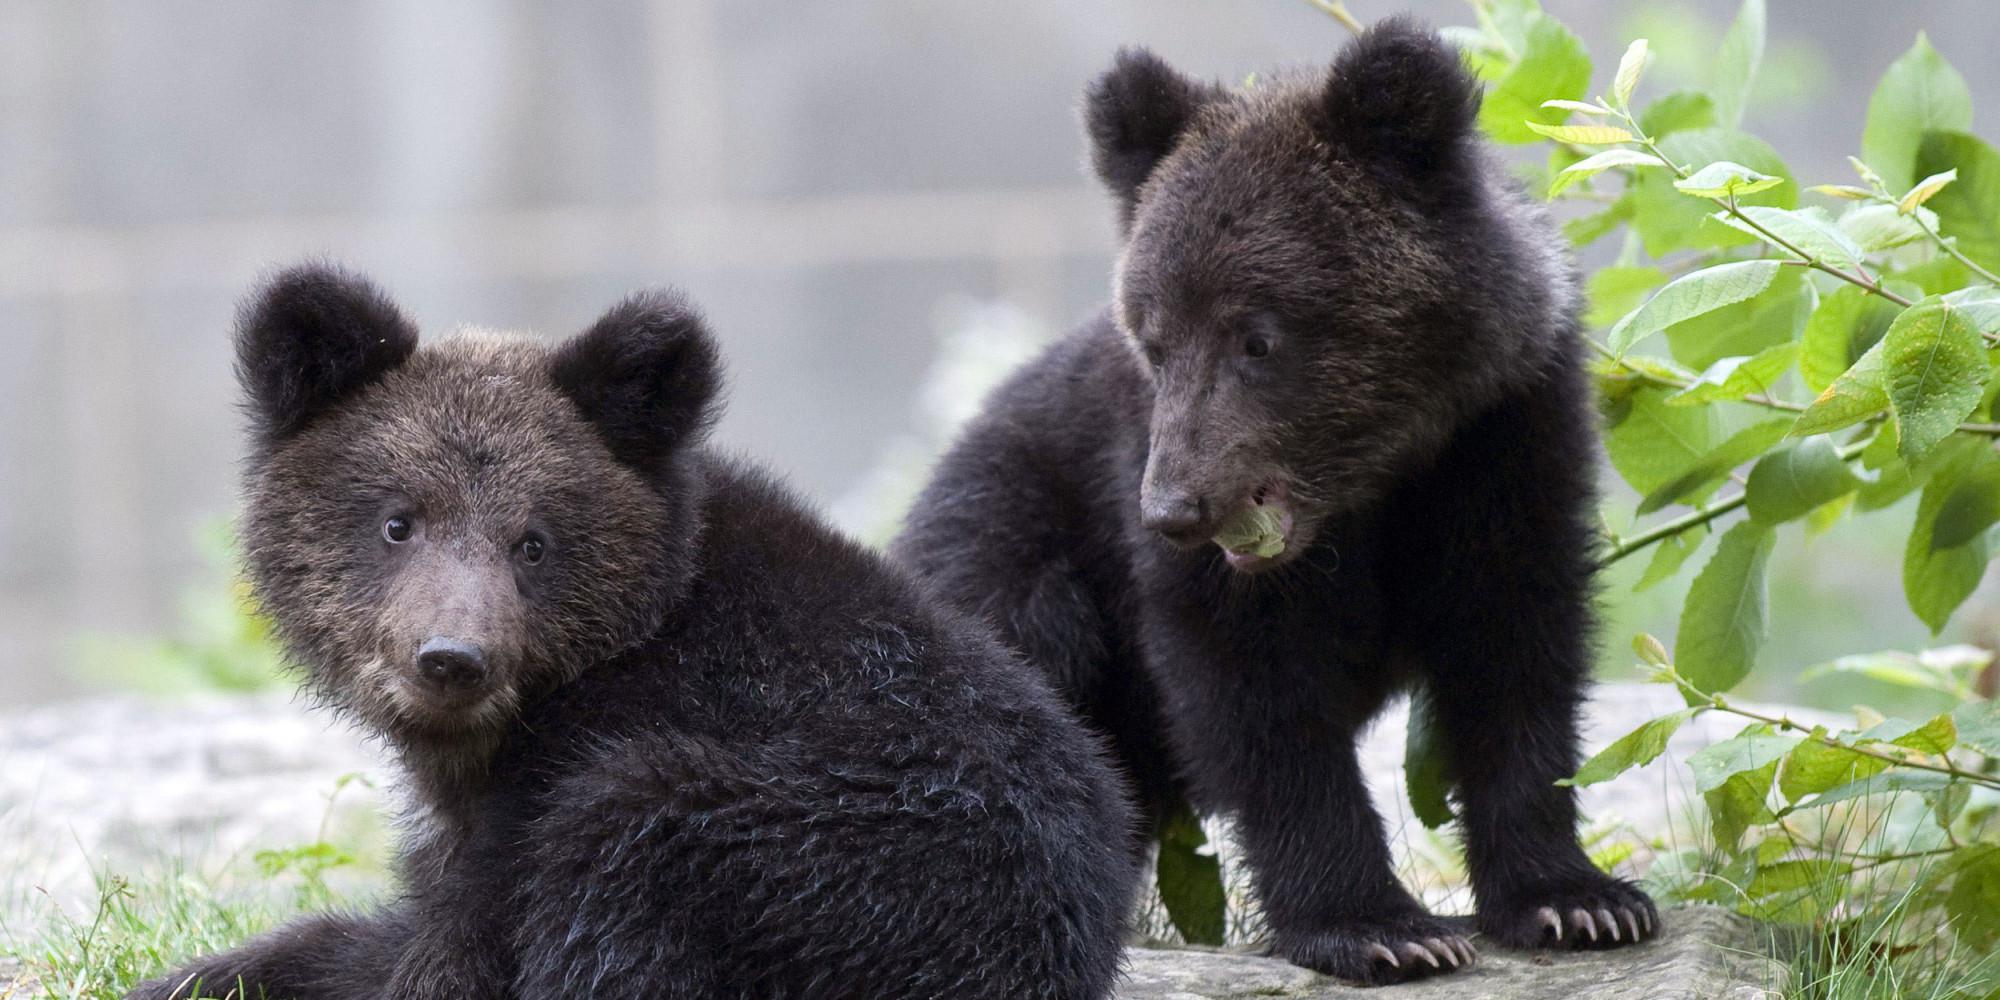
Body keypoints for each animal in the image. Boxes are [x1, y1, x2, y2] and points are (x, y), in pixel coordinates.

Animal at [129, 264, 1139, 1000]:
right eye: (397, 521)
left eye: (532, 541)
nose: (451, 660)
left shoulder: (576, 768)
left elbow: (461, 953)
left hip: (854, 861)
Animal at [890, 19, 1655, 986]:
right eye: (1155, 339)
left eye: (1256, 336)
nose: (1176, 508)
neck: (1376, 480)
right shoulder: (1142, 504)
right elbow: (1257, 698)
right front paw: (1380, 926)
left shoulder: (1503, 440)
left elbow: (1513, 647)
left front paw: (1577, 899)